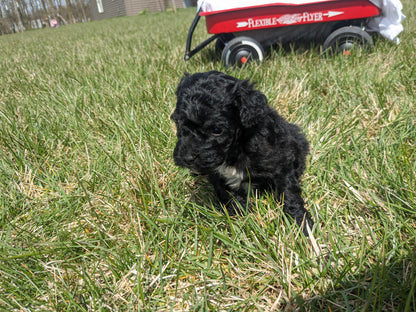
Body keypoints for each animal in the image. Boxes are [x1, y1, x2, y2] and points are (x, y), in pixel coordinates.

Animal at [171, 71, 314, 234]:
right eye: (178, 123)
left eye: (216, 130)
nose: (187, 158)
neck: (236, 148)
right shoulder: (217, 174)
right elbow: (228, 194)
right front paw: (241, 217)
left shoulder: (282, 162)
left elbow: (289, 193)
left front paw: (301, 223)